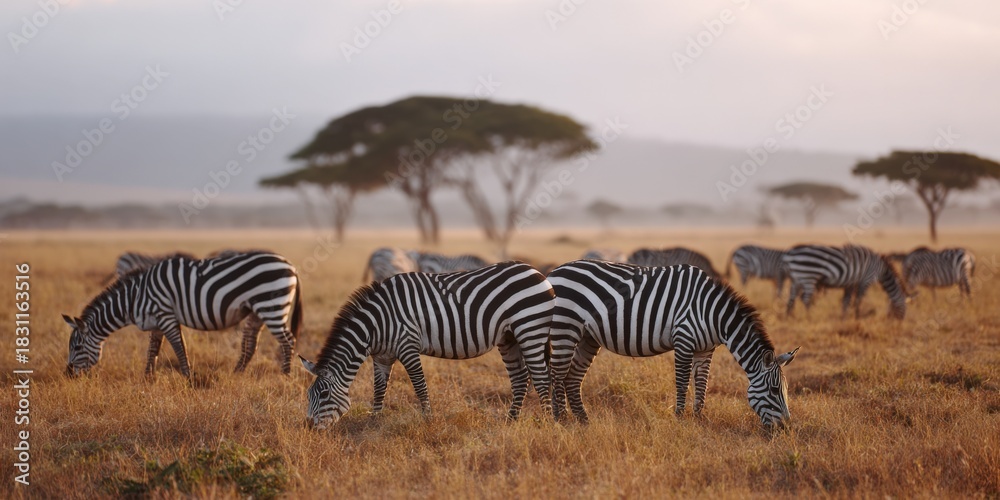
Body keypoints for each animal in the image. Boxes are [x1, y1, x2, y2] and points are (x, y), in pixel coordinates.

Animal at [64, 251, 303, 378]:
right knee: (251, 344)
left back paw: (286, 375)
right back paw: (237, 374)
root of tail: (291, 265)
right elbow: (153, 350)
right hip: (256, 311)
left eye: (77, 347)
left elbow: (179, 347)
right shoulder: (156, 320)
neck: (135, 298)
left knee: (288, 341)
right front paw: (148, 379)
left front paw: (188, 378)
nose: (67, 374)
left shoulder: (166, 315)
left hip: (272, 306)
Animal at [299, 261, 554, 429]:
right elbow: (379, 389)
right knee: (520, 378)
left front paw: (429, 421)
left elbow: (420, 386)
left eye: (324, 394)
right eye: (309, 396)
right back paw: (511, 421)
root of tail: (537, 272)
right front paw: (374, 421)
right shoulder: (382, 356)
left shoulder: (407, 346)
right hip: (508, 337)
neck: (376, 324)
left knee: (541, 378)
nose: (308, 427)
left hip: (530, 330)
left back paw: (547, 423)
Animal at [547, 260, 799, 427]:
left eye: (786, 389)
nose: (786, 428)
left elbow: (702, 384)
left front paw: (699, 419)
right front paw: (680, 418)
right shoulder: (684, 339)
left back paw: (583, 421)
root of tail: (554, 272)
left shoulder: (705, 350)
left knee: (572, 378)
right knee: (557, 374)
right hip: (564, 327)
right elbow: (682, 382)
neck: (713, 313)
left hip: (587, 337)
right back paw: (561, 420)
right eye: (775, 390)